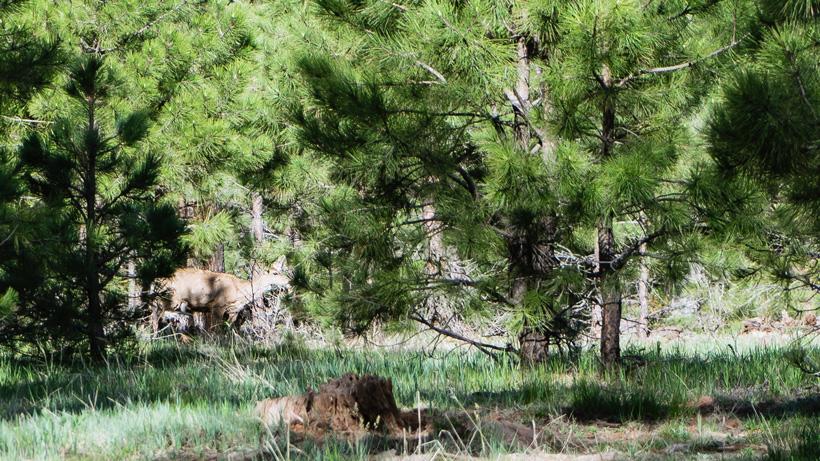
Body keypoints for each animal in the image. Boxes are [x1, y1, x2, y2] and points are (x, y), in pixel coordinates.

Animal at [150, 257, 289, 334]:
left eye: (281, 271)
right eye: (275, 273)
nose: (288, 281)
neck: (239, 291)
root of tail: (155, 280)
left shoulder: (234, 311)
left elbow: (228, 328)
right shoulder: (217, 306)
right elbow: (216, 329)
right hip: (169, 299)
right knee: (156, 317)